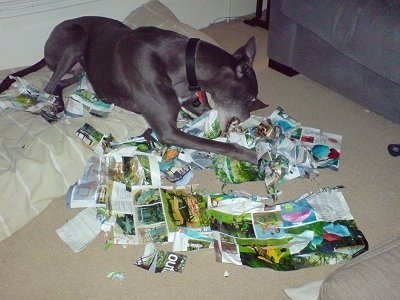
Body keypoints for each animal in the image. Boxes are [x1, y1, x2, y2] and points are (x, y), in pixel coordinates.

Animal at [11, 16, 262, 164]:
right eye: (250, 98)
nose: (245, 120)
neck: (183, 64)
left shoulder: (194, 104)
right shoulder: (168, 131)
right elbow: (222, 145)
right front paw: (254, 155)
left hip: (81, 68)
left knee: (60, 84)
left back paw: (59, 105)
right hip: (75, 39)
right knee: (49, 85)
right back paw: (50, 111)